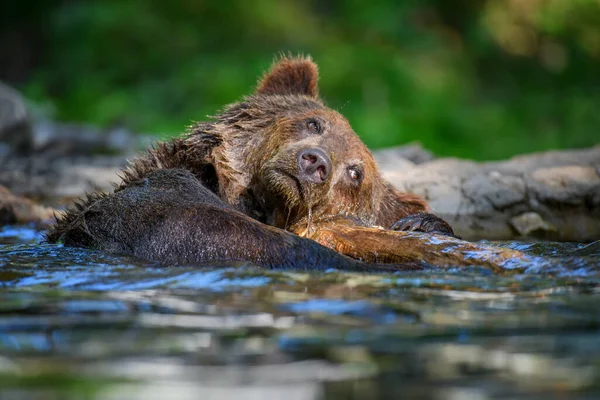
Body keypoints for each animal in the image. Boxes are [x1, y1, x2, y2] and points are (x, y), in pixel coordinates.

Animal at [48, 54, 454, 270]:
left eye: (355, 172)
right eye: (315, 123)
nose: (315, 162)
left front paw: (421, 223)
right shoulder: (157, 198)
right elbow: (201, 227)